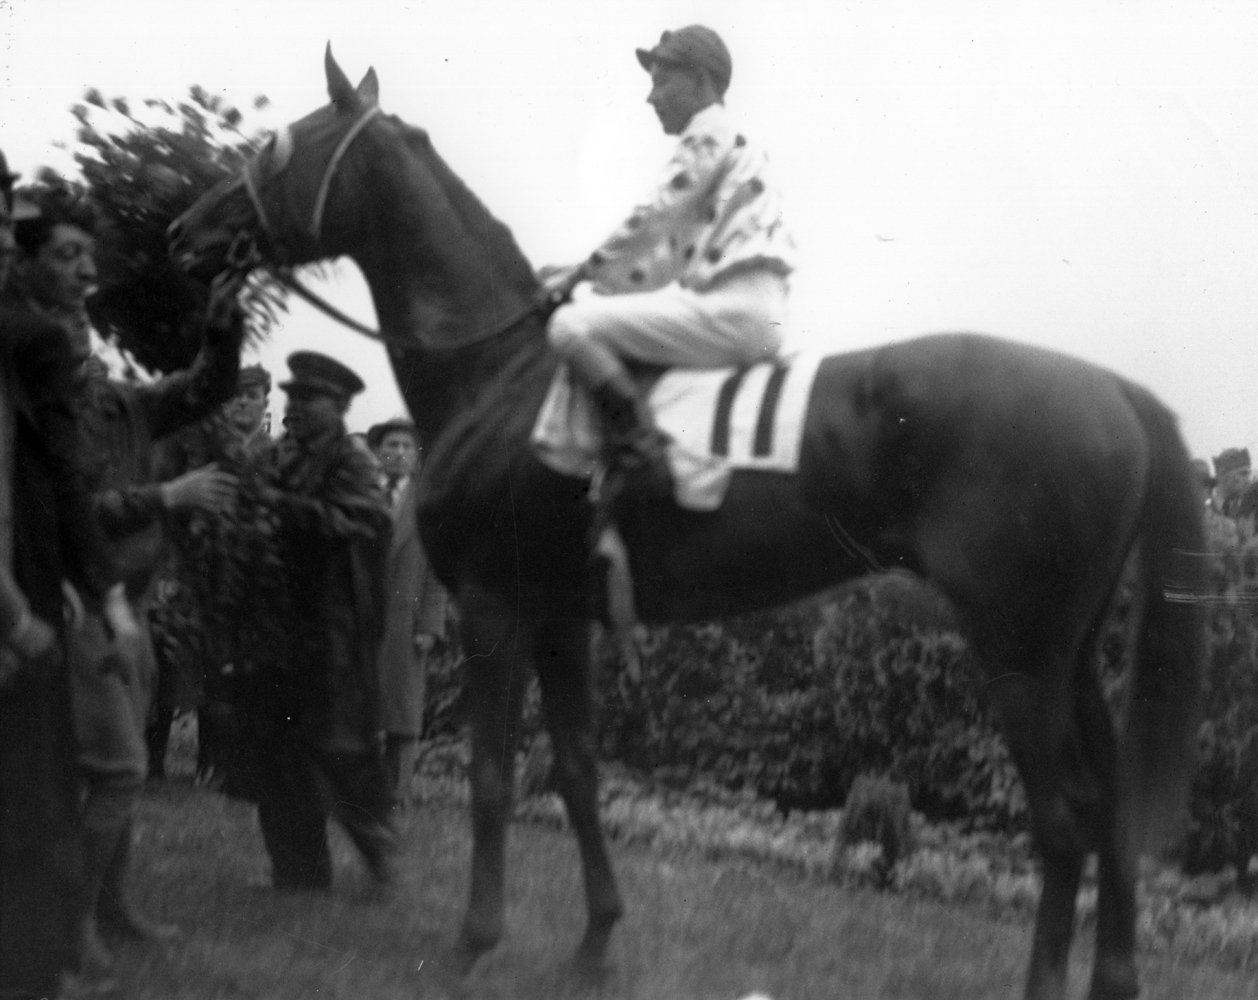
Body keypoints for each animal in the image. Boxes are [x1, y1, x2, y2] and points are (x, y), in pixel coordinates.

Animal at [169, 48, 1207, 1000]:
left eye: (280, 144)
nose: (186, 231)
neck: (501, 376)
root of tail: (1113, 388)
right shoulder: (564, 619)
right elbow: (577, 773)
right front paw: (595, 943)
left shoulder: (492, 609)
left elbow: (493, 778)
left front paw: (473, 941)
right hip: (1072, 653)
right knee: (1110, 812)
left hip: (1016, 649)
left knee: (1064, 821)